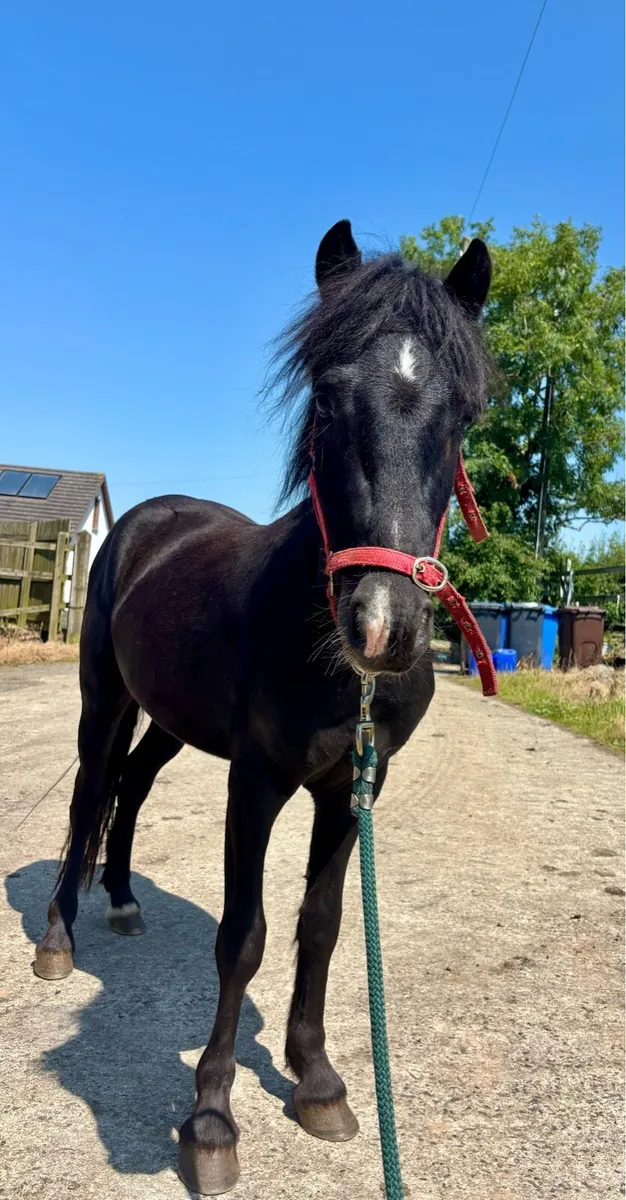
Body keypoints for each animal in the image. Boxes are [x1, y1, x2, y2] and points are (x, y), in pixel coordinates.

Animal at [34, 220, 492, 1195]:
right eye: (326, 401)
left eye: (463, 415)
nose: (383, 626)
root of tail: (145, 519)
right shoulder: (257, 782)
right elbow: (243, 937)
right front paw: (210, 1121)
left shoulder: (353, 790)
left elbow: (321, 929)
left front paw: (317, 1081)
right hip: (106, 701)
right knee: (90, 795)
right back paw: (58, 938)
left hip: (171, 724)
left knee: (132, 788)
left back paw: (122, 900)